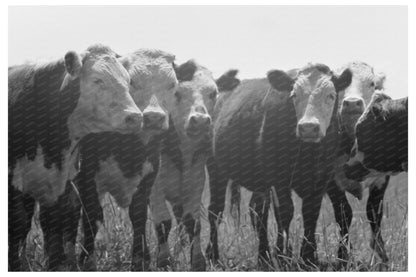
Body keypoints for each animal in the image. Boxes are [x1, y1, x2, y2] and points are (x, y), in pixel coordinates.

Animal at [8, 43, 143, 270]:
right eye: (97, 80)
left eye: (128, 81)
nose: (135, 117)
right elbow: (17, 222)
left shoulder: (62, 181)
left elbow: (54, 222)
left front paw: (56, 264)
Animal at [61, 48, 178, 270]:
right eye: (132, 81)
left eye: (172, 84)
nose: (154, 117)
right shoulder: (87, 176)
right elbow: (92, 216)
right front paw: (87, 260)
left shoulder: (149, 176)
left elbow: (139, 215)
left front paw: (140, 259)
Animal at [149, 60, 218, 270]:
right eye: (177, 93)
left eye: (213, 93)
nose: (200, 121)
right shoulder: (155, 188)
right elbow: (163, 222)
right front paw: (164, 259)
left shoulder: (196, 183)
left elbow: (192, 222)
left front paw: (197, 260)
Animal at [205, 63, 352, 266]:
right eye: (294, 95)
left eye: (331, 95)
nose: (308, 127)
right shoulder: (278, 178)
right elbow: (285, 211)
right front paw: (284, 255)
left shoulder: (322, 178)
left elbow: (311, 212)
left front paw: (308, 257)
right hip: (215, 169)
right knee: (215, 210)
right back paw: (212, 254)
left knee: (257, 211)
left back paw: (263, 256)